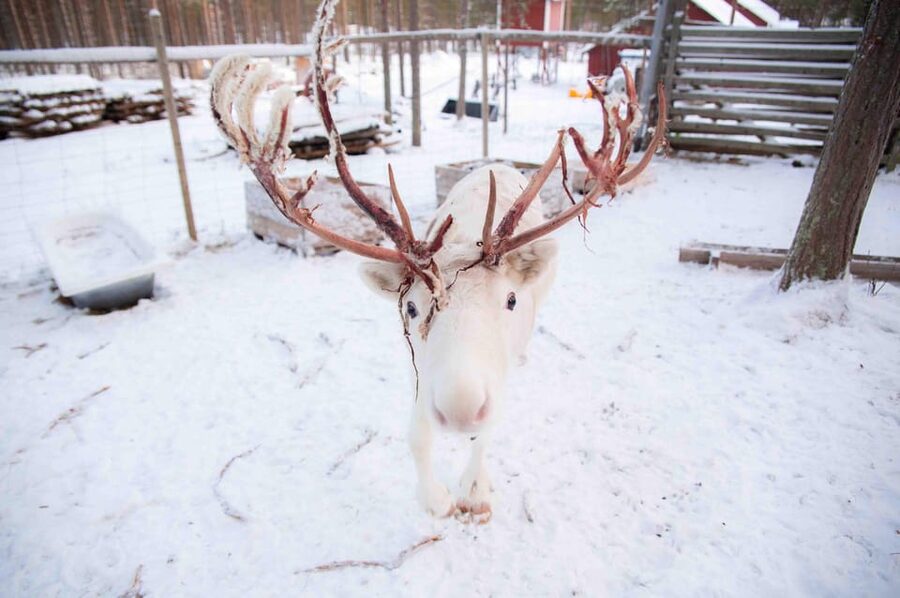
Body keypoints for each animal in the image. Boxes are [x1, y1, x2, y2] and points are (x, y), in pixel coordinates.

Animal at [209, 0, 666, 522]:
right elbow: (417, 435)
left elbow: (486, 436)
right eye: (411, 307)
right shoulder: (417, 367)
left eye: (511, 300)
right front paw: (435, 499)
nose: (462, 409)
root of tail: (495, 162)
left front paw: (473, 491)